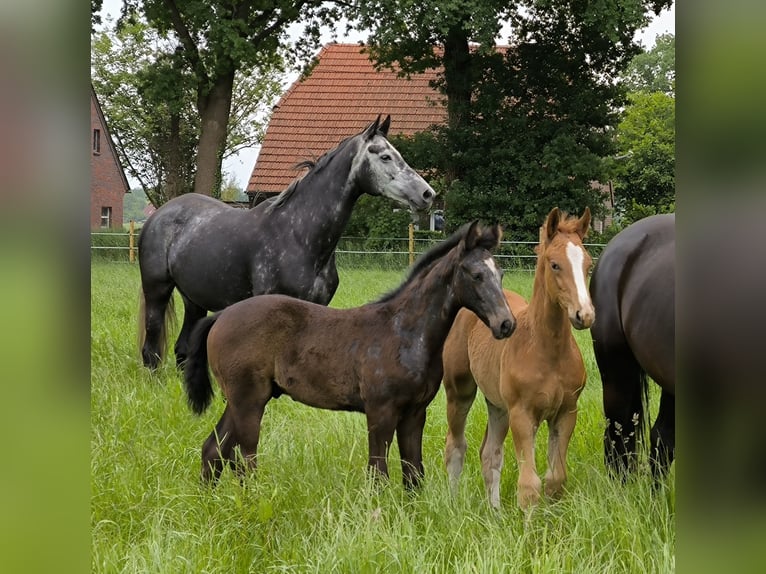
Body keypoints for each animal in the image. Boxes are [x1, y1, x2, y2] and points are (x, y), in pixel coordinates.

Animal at [182, 223, 516, 488]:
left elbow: (413, 473)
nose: (506, 324)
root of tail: (221, 316)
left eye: (500, 274)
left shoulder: (414, 413)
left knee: (213, 450)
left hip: (242, 399)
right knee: (244, 458)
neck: (404, 332)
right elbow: (378, 473)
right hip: (248, 400)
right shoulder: (380, 411)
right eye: (476, 275)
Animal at [440, 207, 596, 508]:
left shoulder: (566, 413)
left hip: (497, 405)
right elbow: (529, 485)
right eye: (555, 265)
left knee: (490, 454)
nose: (584, 315)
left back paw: (495, 511)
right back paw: (452, 505)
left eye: (588, 265)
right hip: (459, 392)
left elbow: (555, 479)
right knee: (455, 446)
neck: (547, 351)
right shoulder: (522, 415)